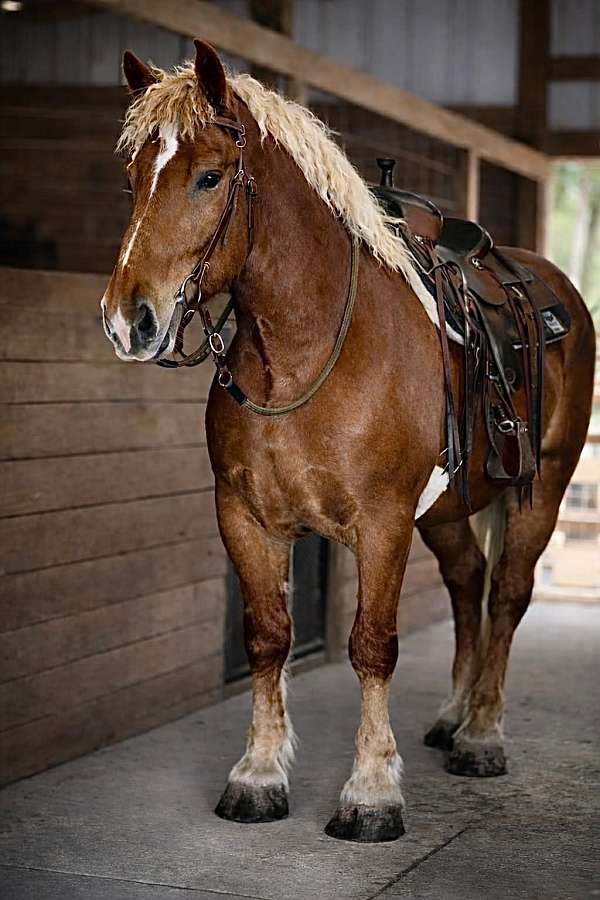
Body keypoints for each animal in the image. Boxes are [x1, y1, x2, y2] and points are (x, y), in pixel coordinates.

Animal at [101, 40, 596, 843]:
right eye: (132, 176)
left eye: (209, 176)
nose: (127, 320)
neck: (304, 354)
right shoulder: (244, 518)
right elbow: (268, 636)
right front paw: (258, 775)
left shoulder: (382, 523)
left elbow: (372, 644)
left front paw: (370, 793)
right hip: (446, 512)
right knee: (468, 584)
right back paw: (452, 715)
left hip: (541, 488)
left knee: (508, 594)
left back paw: (481, 735)